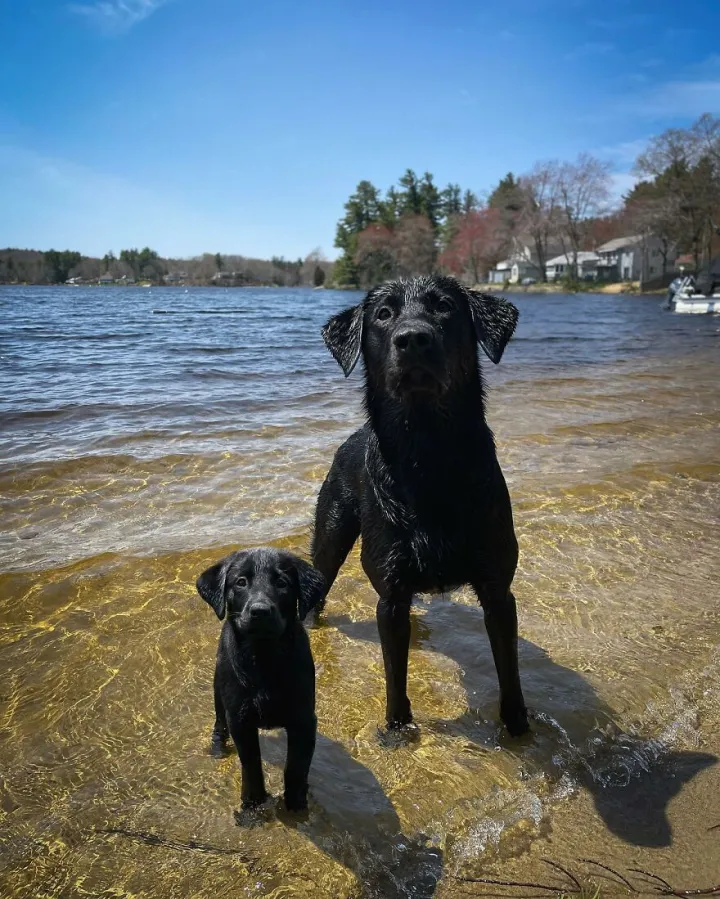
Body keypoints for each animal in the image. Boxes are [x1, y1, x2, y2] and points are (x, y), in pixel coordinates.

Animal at [194, 544, 324, 812]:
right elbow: (251, 763)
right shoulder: (240, 719)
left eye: (282, 583)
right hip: (219, 689)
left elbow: (296, 766)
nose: (260, 611)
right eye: (241, 582)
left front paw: (296, 804)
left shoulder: (304, 719)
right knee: (219, 722)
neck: (263, 656)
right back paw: (217, 746)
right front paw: (252, 802)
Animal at [310, 274, 528, 740]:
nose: (413, 338)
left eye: (445, 307)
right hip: (331, 534)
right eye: (383, 314)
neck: (427, 452)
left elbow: (509, 670)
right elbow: (395, 673)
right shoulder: (391, 595)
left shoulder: (498, 589)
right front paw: (396, 729)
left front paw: (519, 727)